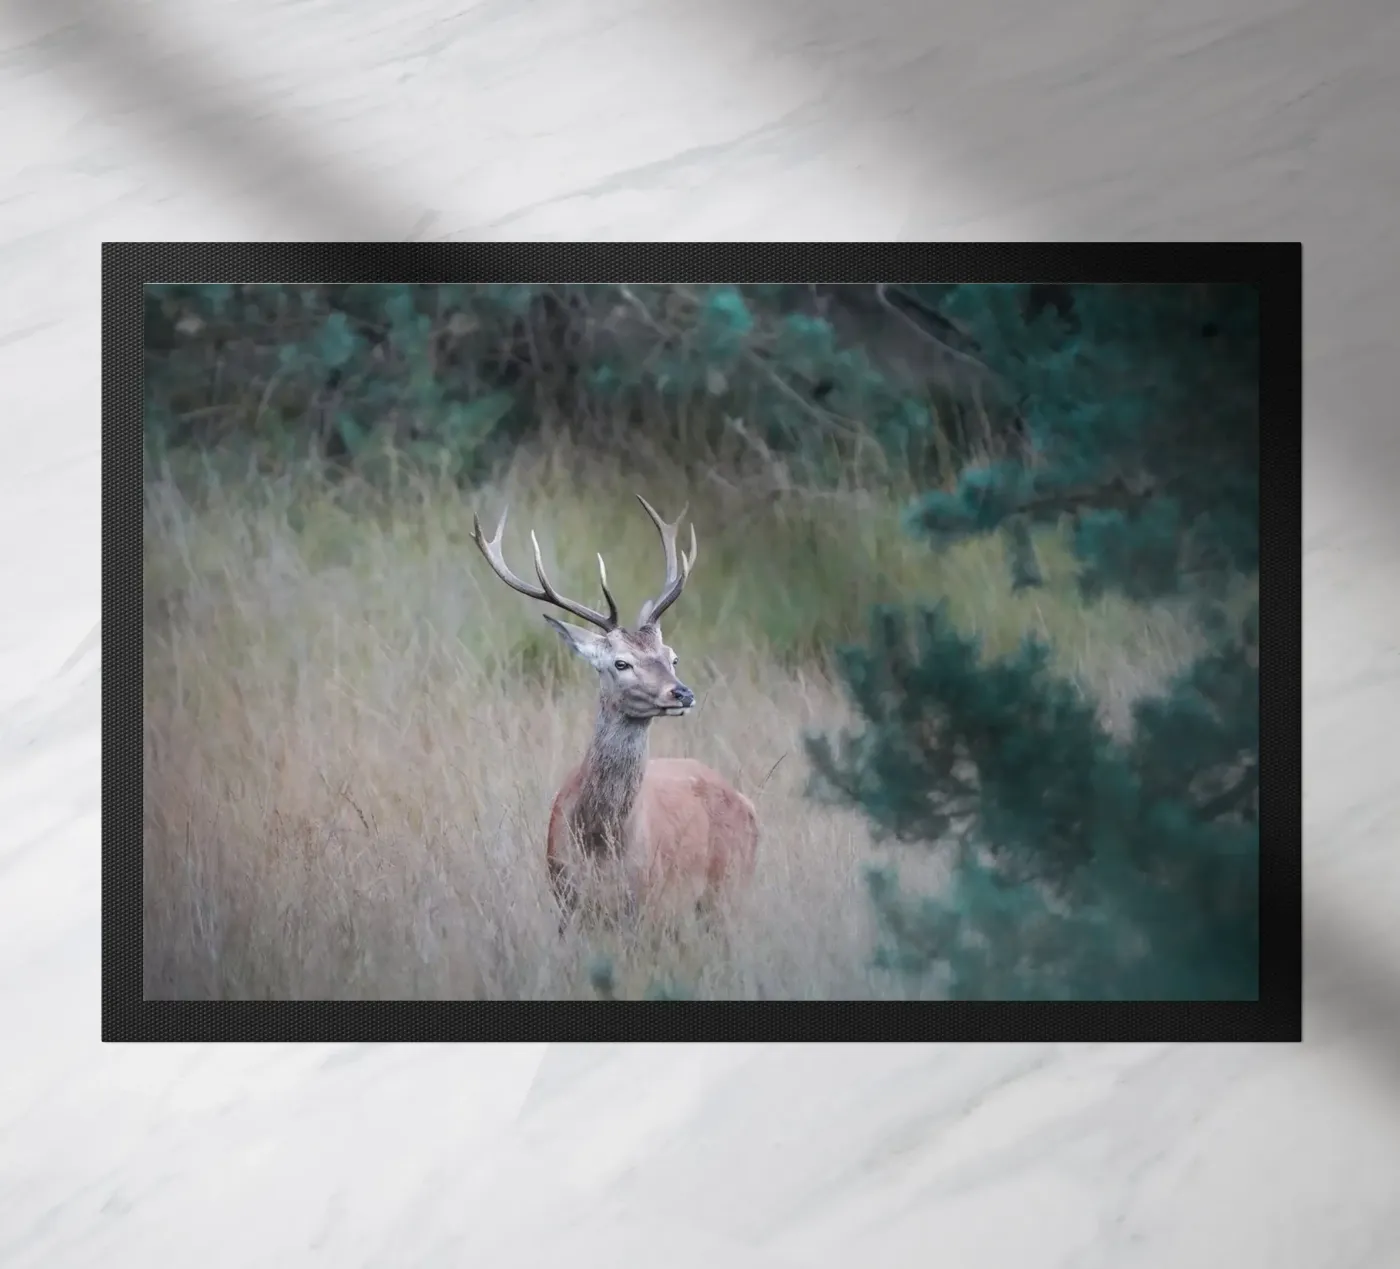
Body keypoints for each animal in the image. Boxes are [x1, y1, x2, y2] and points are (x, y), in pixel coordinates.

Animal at [472, 495, 759, 926]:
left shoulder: (650, 904)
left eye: (672, 657)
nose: (682, 693)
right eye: (621, 663)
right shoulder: (567, 899)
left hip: (728, 893)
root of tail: (745, 801)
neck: (600, 848)